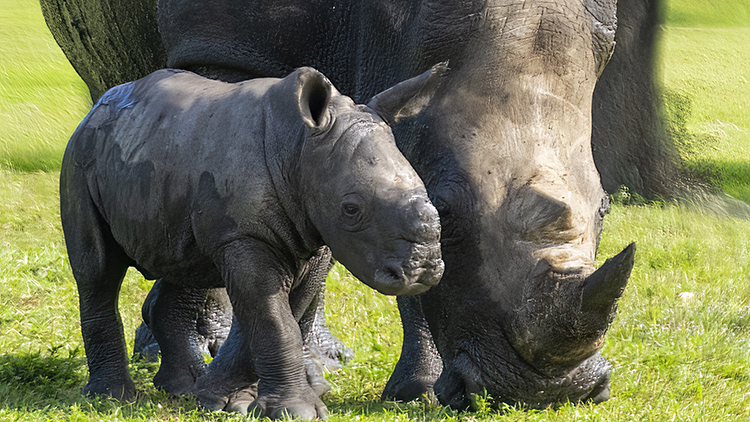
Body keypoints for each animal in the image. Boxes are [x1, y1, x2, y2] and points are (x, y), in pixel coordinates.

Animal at [59, 66, 445, 419]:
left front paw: (219, 399)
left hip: (160, 157)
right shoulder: (245, 235)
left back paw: (181, 387)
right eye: (351, 209)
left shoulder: (310, 238)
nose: (423, 271)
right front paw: (296, 412)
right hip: (81, 156)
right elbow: (275, 320)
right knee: (98, 270)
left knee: (179, 264)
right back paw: (114, 398)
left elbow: (273, 315)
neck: (300, 147)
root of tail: (94, 109)